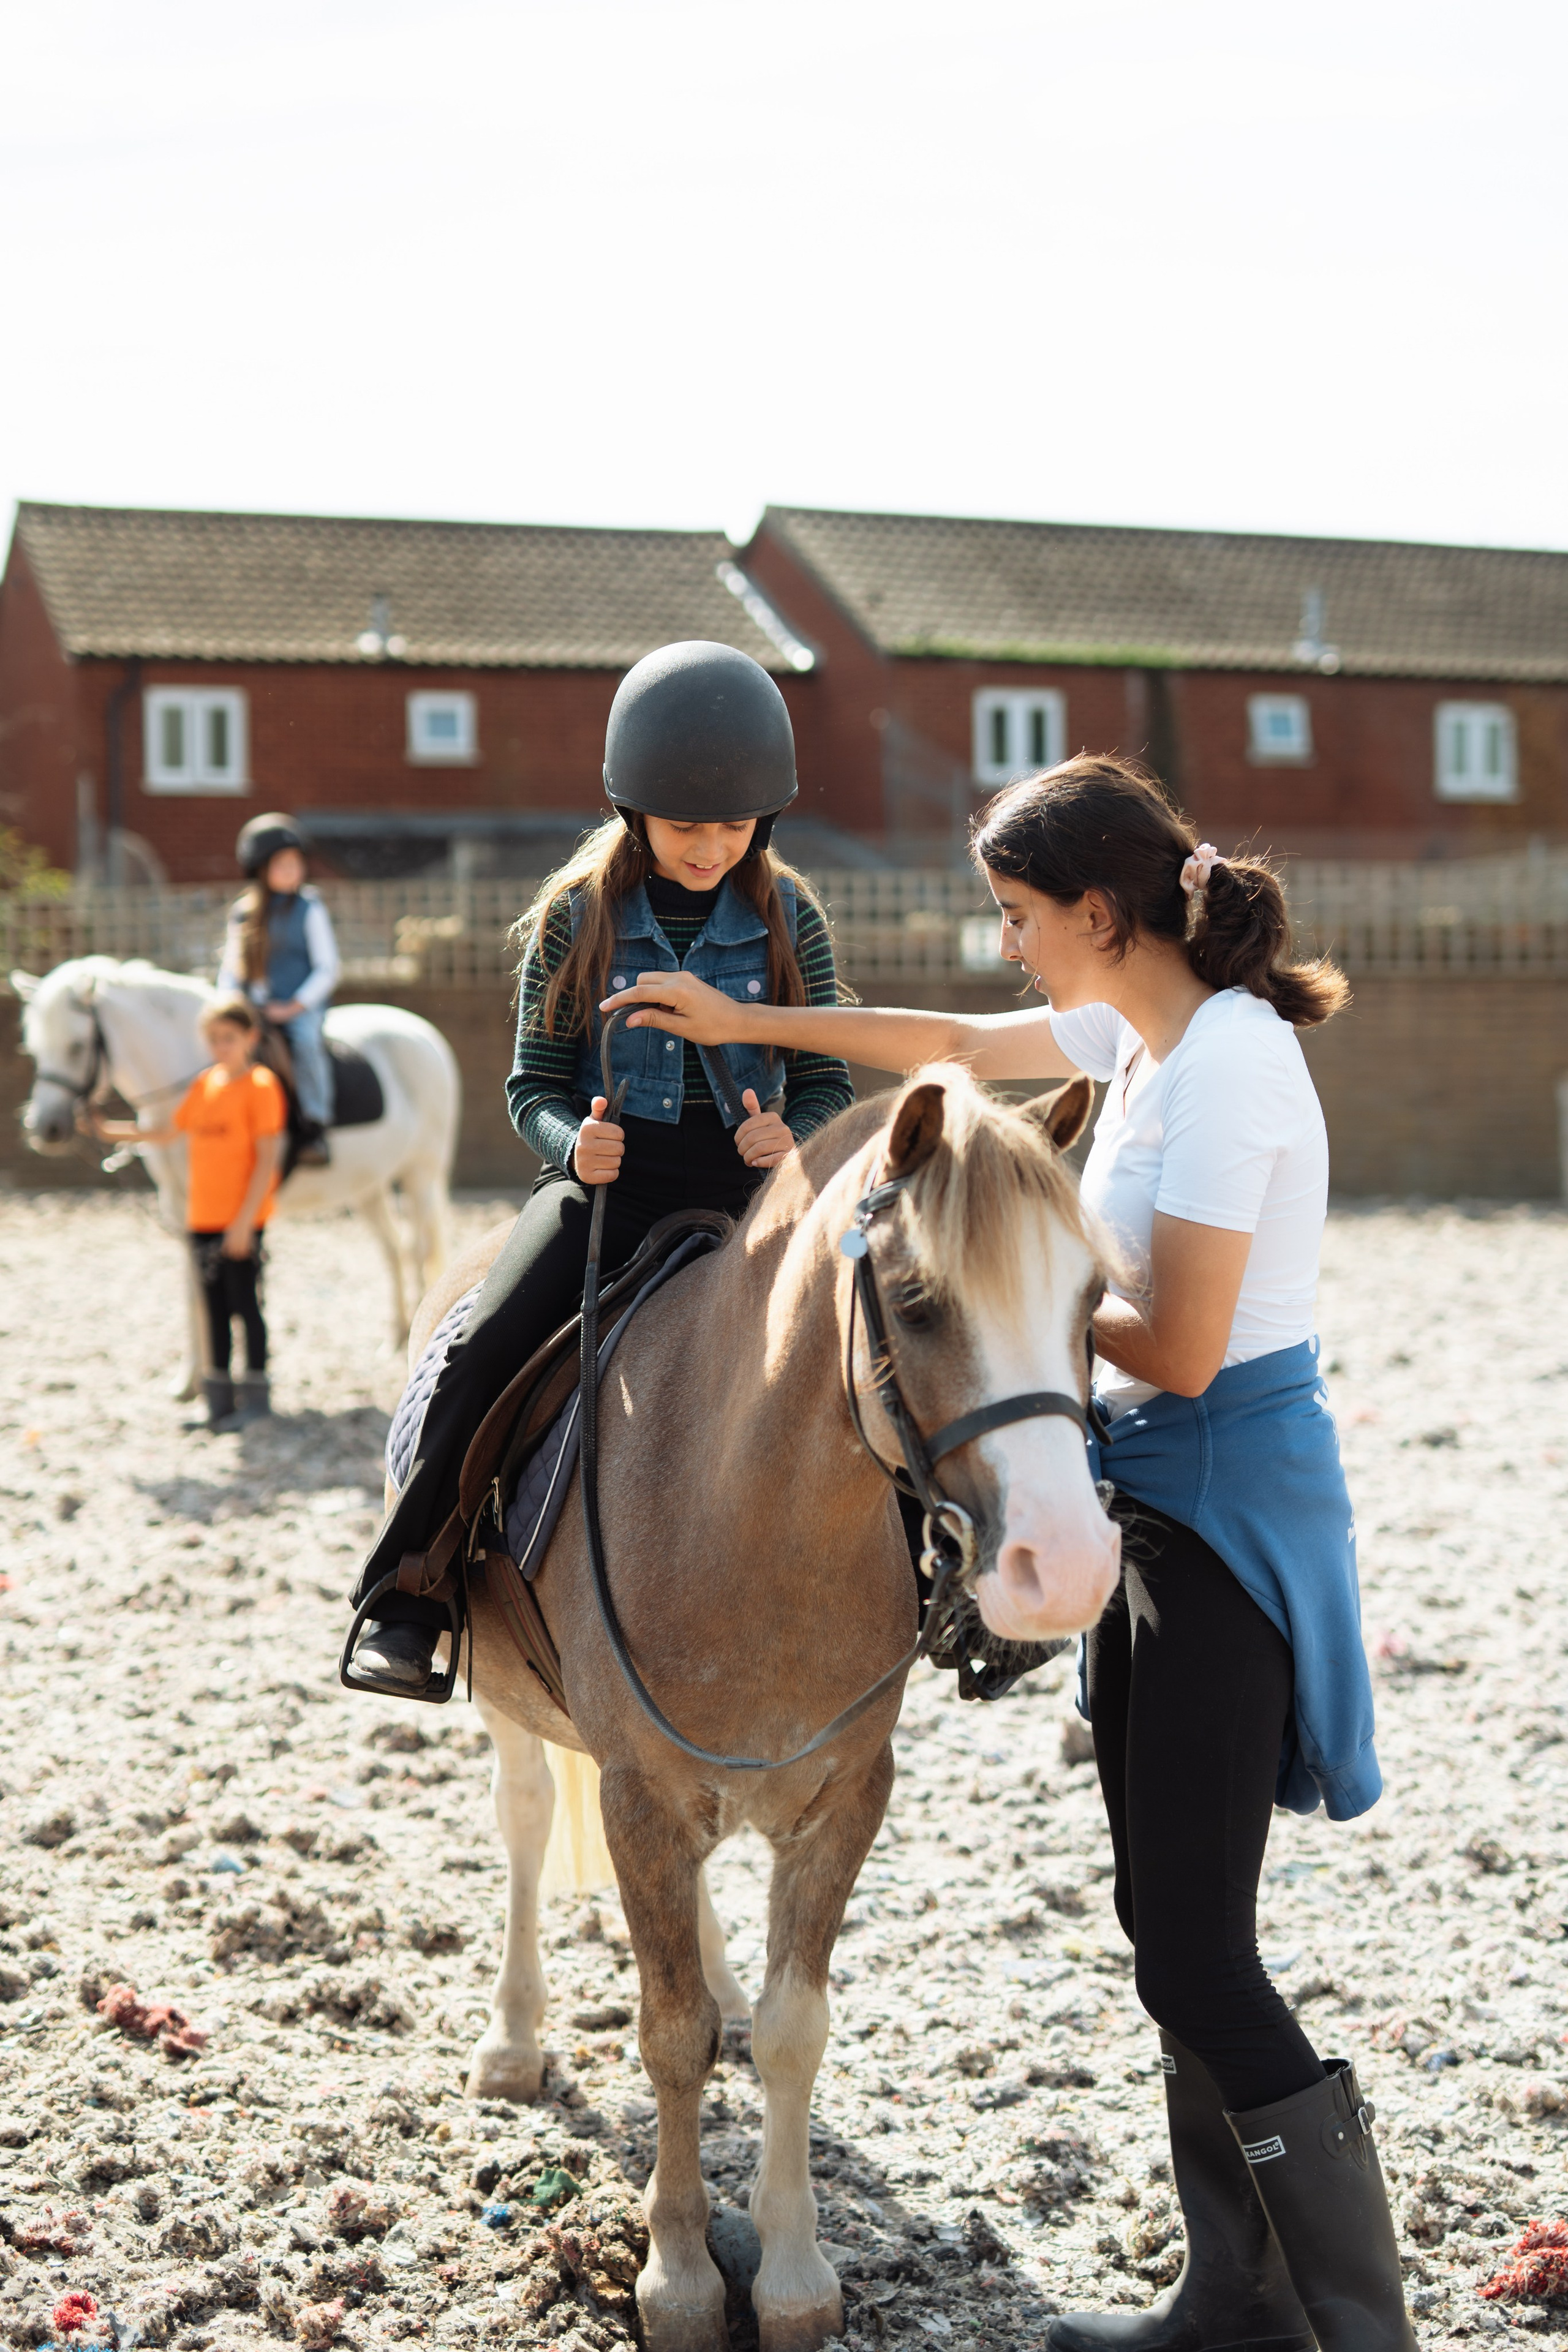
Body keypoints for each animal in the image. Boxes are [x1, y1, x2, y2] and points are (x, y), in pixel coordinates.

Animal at [10, 956, 460, 1383]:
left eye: (76, 1045)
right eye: (33, 1048)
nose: (45, 1128)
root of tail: (423, 1033)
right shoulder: (182, 1206)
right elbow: (196, 1288)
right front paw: (192, 1379)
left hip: (421, 1174)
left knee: (423, 1248)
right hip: (368, 1186)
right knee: (396, 1249)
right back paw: (397, 1337)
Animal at [400, 1062, 1120, 2352]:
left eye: (1091, 1298)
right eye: (917, 1301)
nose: (1072, 1564)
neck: (749, 1508)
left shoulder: (842, 1799)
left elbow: (793, 2027)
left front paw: (790, 2277)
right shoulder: (640, 1793)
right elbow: (666, 2036)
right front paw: (679, 2279)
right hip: (515, 1713)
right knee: (528, 1822)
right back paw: (515, 2039)